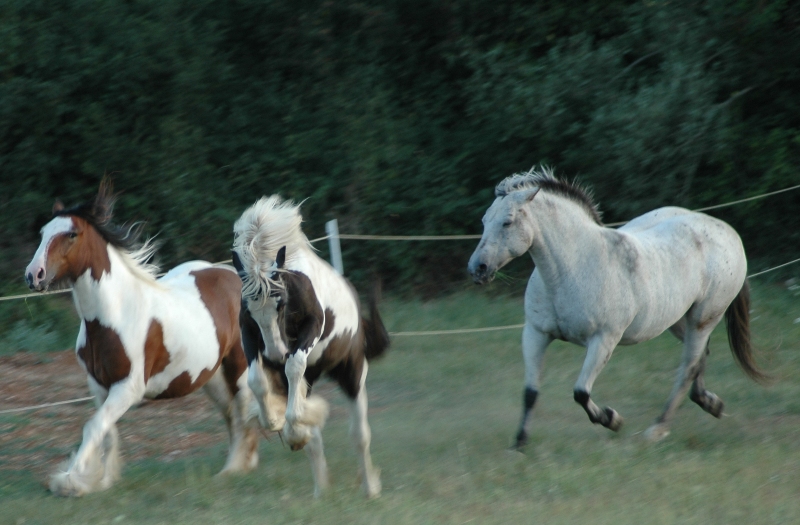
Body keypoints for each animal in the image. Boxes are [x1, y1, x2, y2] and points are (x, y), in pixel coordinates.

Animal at [230, 194, 390, 498]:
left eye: (281, 303)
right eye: (249, 309)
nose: (274, 354)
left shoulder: (311, 328)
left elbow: (294, 366)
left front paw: (295, 426)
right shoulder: (248, 333)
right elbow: (257, 380)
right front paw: (280, 423)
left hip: (351, 373)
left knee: (360, 435)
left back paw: (370, 488)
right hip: (311, 376)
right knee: (314, 437)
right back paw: (320, 491)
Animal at [468, 167, 768, 446]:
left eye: (507, 222)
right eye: (484, 221)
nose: (477, 269)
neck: (572, 268)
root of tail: (727, 231)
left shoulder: (604, 340)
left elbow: (581, 392)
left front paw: (612, 419)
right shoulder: (535, 334)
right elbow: (530, 392)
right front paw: (520, 443)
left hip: (703, 319)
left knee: (688, 368)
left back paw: (658, 429)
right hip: (676, 320)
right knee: (700, 358)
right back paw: (711, 403)